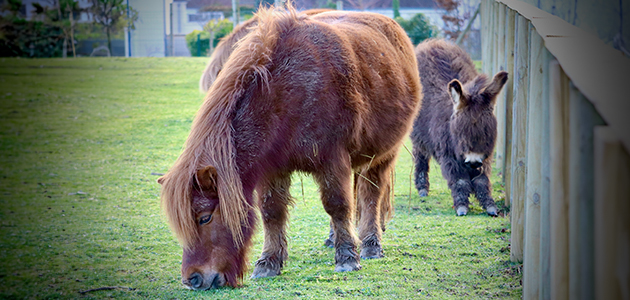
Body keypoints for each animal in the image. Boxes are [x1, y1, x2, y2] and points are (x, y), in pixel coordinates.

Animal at [414, 39, 508, 216]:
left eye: (487, 132)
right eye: (460, 132)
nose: (473, 162)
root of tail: (432, 43)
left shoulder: (484, 158)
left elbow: (482, 181)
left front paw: (490, 205)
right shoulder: (449, 156)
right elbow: (461, 181)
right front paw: (462, 205)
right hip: (418, 135)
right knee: (420, 155)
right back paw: (422, 188)